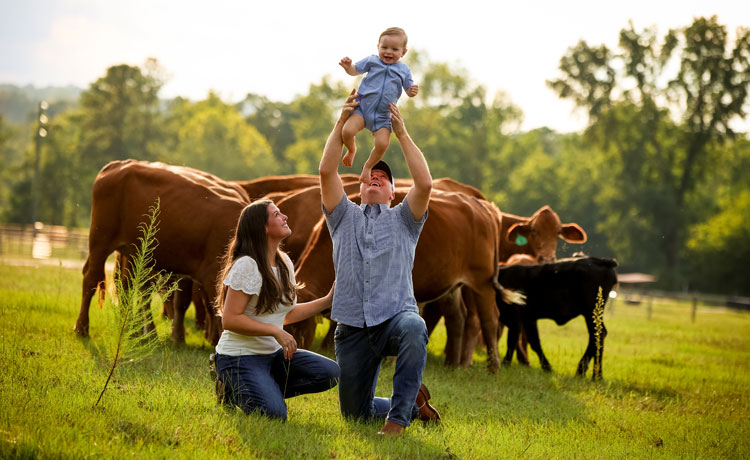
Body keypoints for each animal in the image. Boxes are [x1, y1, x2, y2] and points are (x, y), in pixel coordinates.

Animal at [73, 160, 245, 344]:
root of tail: (121, 164)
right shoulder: (214, 274)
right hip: (100, 240)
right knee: (91, 279)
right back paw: (82, 328)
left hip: (133, 252)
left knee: (132, 287)